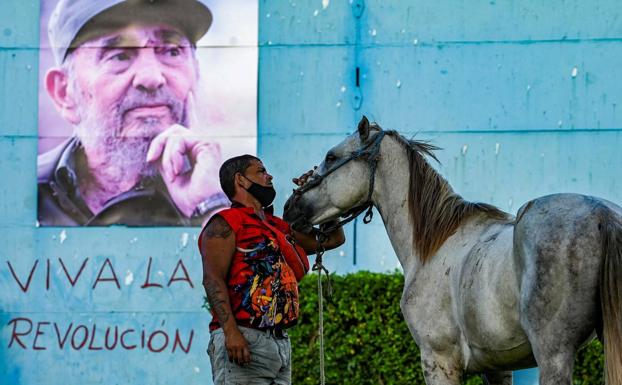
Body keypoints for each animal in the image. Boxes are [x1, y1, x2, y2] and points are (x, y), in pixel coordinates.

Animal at [286, 117, 622, 384]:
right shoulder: (497, 368)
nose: (291, 207)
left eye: (331, 156)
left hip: (554, 355)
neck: (431, 246)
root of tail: (604, 214)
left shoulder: (439, 361)